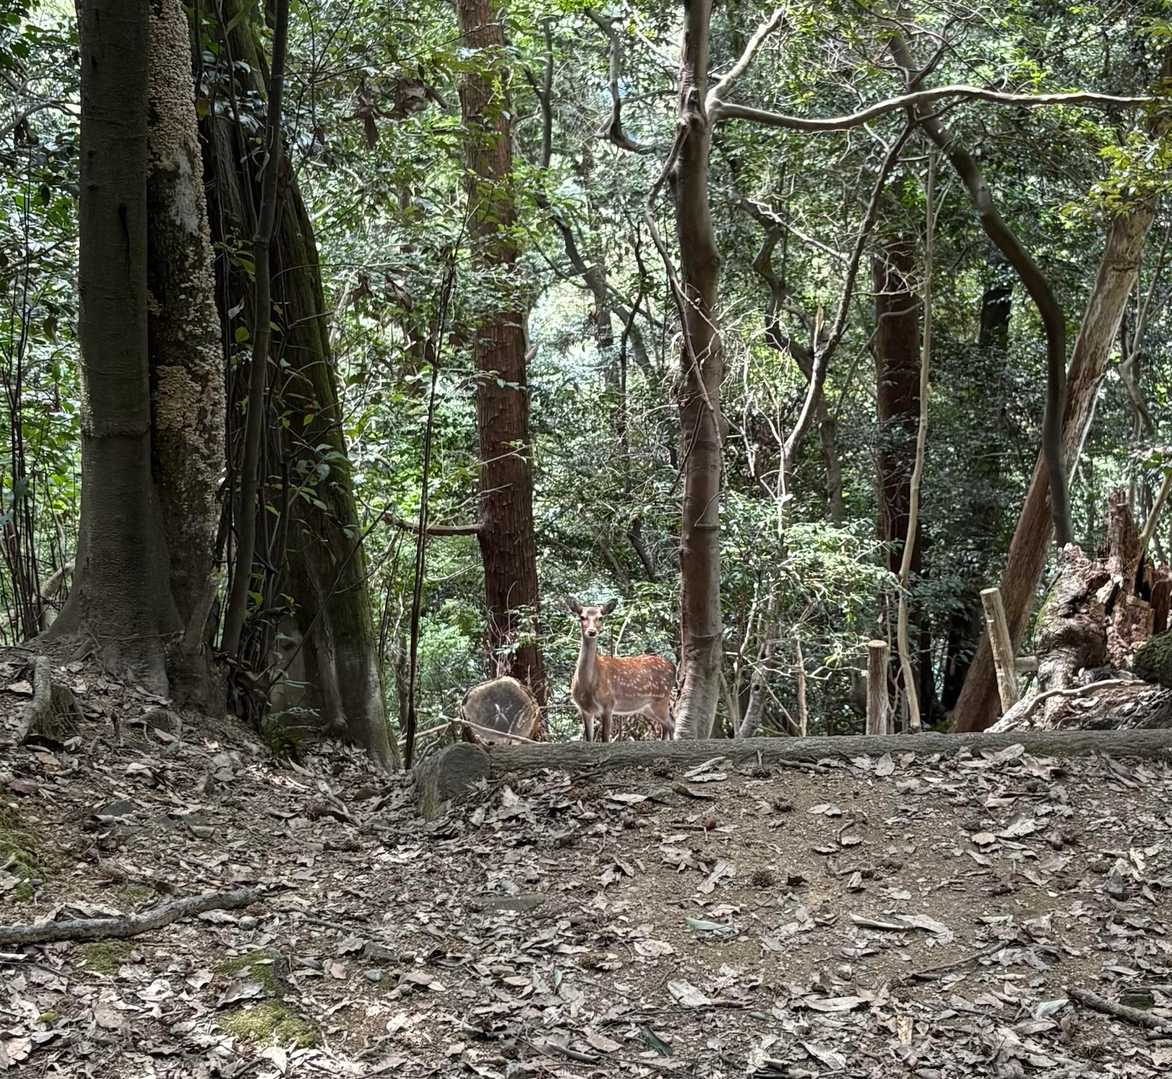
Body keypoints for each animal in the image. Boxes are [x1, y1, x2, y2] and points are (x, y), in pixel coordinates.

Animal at [564, 596, 675, 742]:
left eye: (600, 617)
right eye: (582, 617)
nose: (592, 632)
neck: (588, 685)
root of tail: (673, 666)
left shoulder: (608, 704)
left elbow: (605, 739)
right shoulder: (584, 709)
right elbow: (589, 739)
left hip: (661, 699)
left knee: (671, 723)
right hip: (647, 707)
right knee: (666, 725)